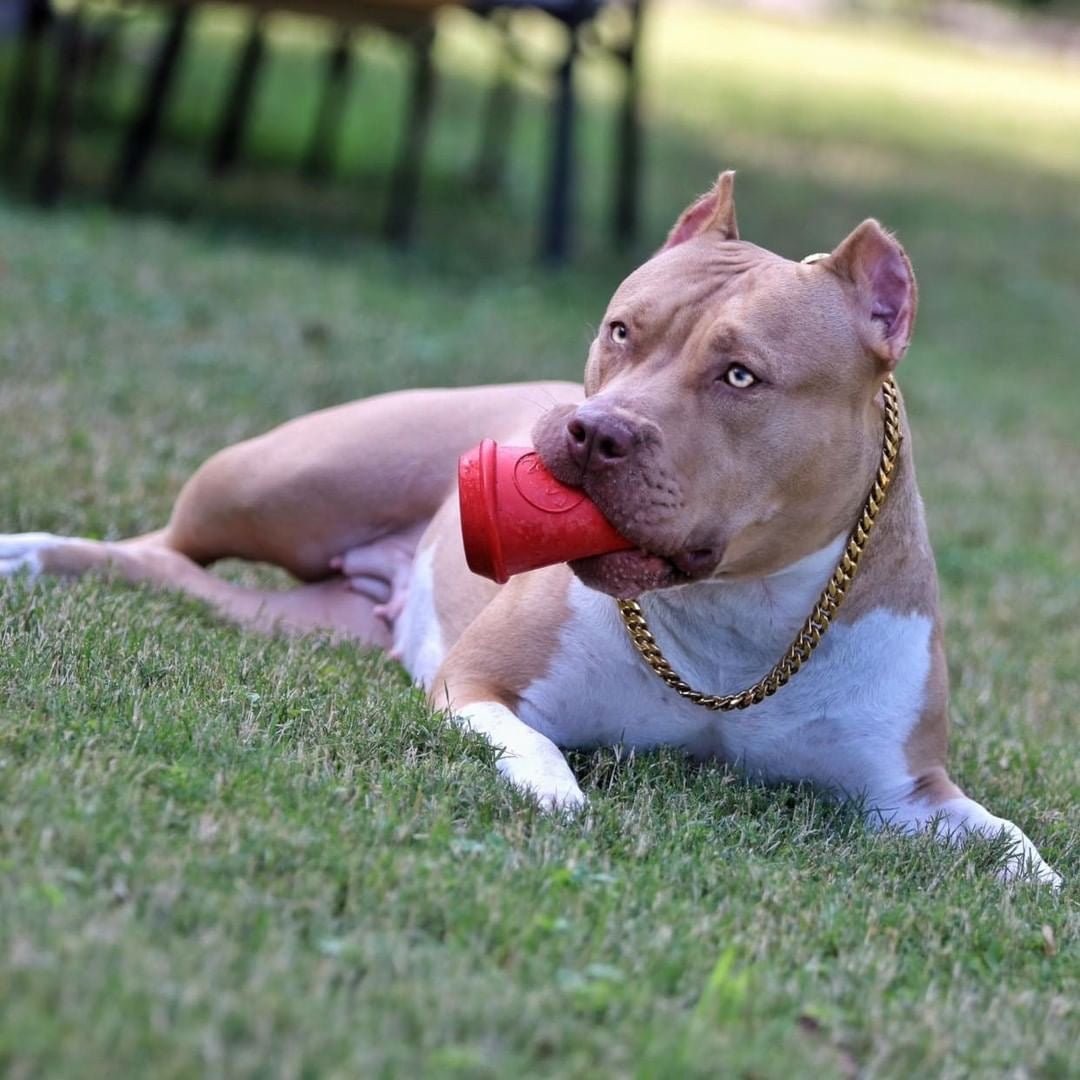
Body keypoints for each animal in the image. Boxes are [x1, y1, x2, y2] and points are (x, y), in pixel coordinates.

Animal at [2, 174, 1062, 885]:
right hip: (274, 482)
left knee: (182, 579)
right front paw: (555, 798)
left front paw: (1041, 896)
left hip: (304, 612)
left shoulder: (908, 794)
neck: (737, 618)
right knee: (151, 548)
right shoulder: (479, 686)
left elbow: (1015, 844)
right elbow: (535, 750)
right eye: (623, 328)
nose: (594, 432)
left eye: (740, 375)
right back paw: (27, 554)